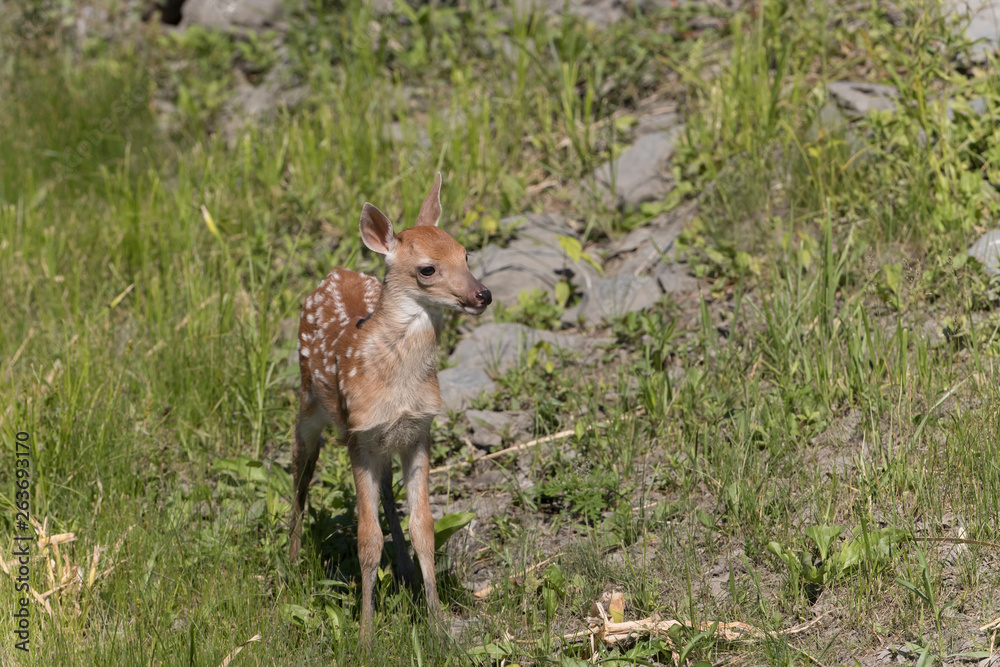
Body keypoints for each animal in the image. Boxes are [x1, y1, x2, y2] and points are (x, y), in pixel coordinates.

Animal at [289, 173, 492, 640]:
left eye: (465, 253)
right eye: (427, 269)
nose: (483, 294)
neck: (396, 383)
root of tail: (334, 272)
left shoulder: (417, 432)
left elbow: (424, 529)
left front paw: (437, 622)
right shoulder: (358, 436)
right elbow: (366, 540)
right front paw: (365, 634)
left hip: (384, 443)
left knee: (384, 492)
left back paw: (404, 573)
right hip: (309, 408)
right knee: (300, 473)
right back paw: (289, 565)